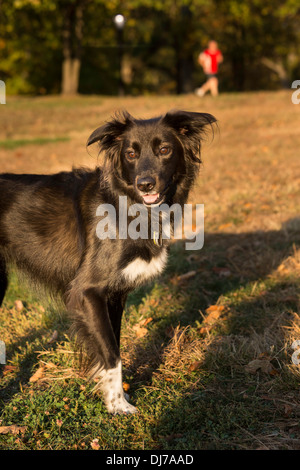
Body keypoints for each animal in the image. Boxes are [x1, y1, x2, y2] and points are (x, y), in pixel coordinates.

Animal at [0, 110, 216, 412]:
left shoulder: (115, 295)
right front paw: (118, 406)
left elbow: (112, 341)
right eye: (130, 154)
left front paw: (114, 395)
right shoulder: (88, 292)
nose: (145, 184)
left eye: (164, 150)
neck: (128, 205)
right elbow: (111, 352)